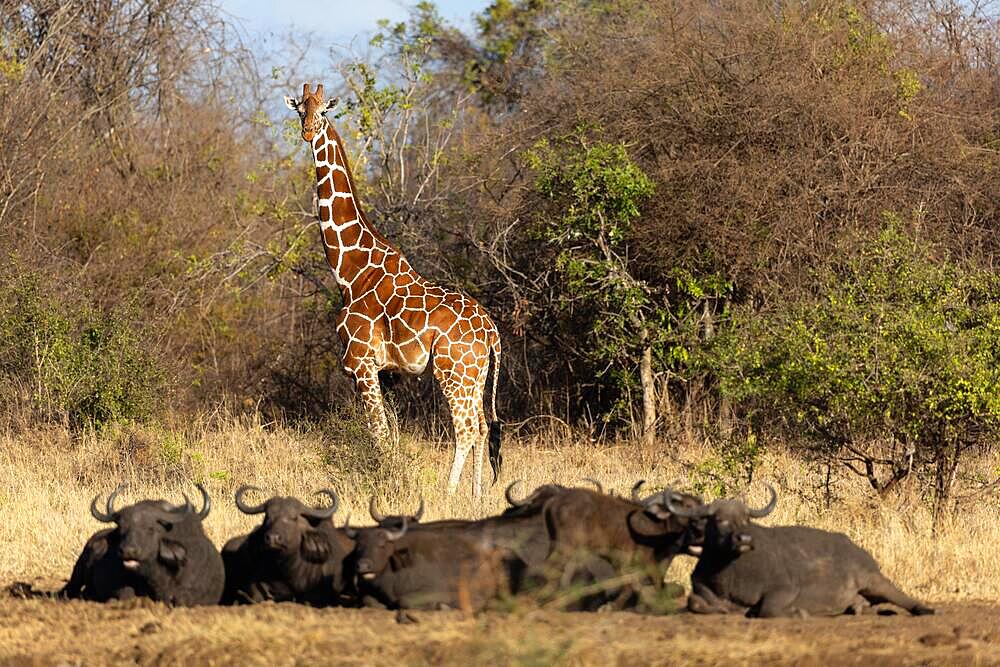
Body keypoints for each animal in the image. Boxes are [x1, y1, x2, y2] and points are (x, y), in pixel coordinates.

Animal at [286, 83, 504, 498]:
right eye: (300, 110)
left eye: (323, 112)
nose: (307, 132)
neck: (349, 271)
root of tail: (493, 334)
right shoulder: (385, 372)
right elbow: (390, 432)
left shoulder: (359, 362)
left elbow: (379, 433)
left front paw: (386, 483)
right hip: (478, 373)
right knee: (484, 425)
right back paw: (477, 494)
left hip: (453, 371)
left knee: (466, 428)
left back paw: (449, 492)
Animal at [672, 486, 936, 620]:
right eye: (719, 520)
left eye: (745, 519)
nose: (744, 539)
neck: (729, 571)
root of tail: (858, 549)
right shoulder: (700, 584)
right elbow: (695, 601)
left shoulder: (785, 589)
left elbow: (768, 610)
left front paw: (798, 612)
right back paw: (856, 608)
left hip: (874, 580)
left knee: (901, 596)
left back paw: (924, 609)